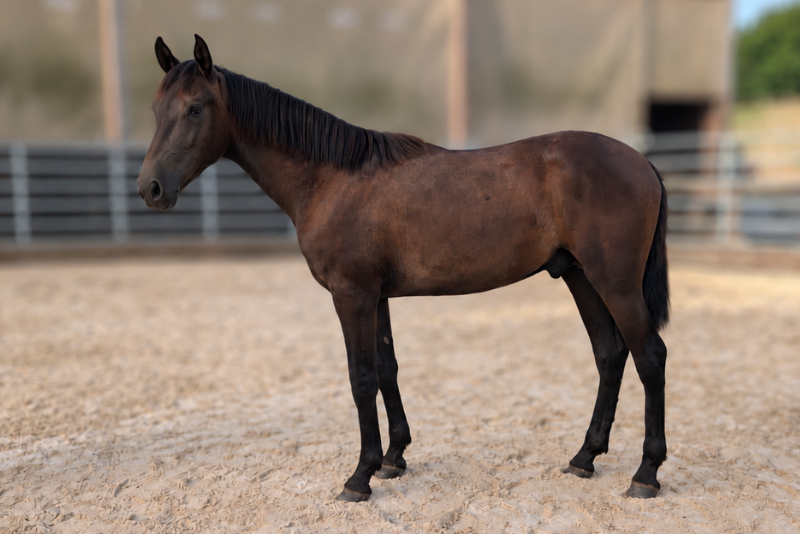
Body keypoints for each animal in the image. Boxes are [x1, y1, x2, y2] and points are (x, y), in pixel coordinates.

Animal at [137, 35, 670, 502]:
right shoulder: (377, 297)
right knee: (609, 354)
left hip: (615, 283)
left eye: (195, 108)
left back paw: (646, 474)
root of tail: (641, 162)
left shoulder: (351, 295)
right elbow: (388, 368)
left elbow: (361, 378)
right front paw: (393, 459)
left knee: (650, 357)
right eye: (156, 110)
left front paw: (360, 477)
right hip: (580, 276)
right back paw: (585, 458)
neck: (331, 178)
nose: (150, 189)